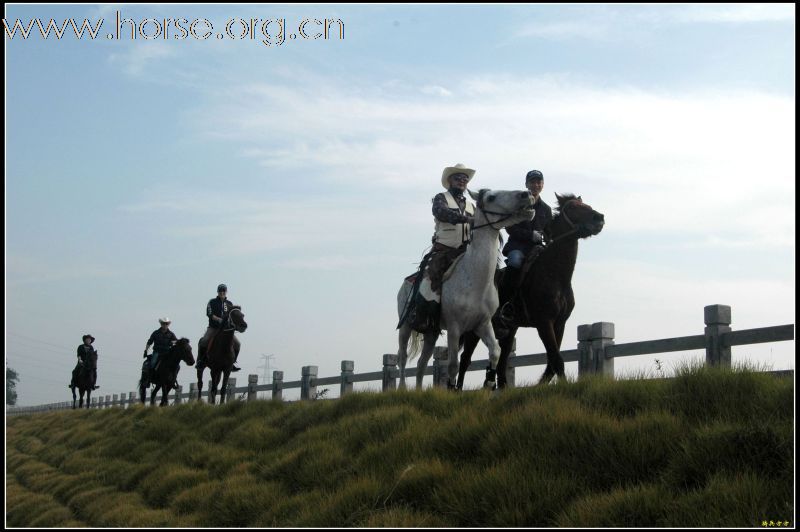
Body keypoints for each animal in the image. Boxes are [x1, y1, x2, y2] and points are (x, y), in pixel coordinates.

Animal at [396, 189, 536, 388]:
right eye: (491, 197)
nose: (527, 194)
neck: (475, 281)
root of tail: (406, 283)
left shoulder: (483, 324)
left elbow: (495, 351)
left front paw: (489, 382)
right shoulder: (455, 328)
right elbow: (453, 364)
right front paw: (452, 388)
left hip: (431, 332)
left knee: (421, 364)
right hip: (406, 326)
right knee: (402, 357)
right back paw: (402, 388)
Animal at [460, 193, 604, 388]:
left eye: (586, 205)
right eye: (573, 207)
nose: (599, 218)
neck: (555, 275)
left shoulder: (560, 323)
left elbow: (552, 361)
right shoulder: (544, 323)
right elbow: (556, 359)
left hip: (509, 330)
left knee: (502, 362)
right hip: (474, 330)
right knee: (465, 359)